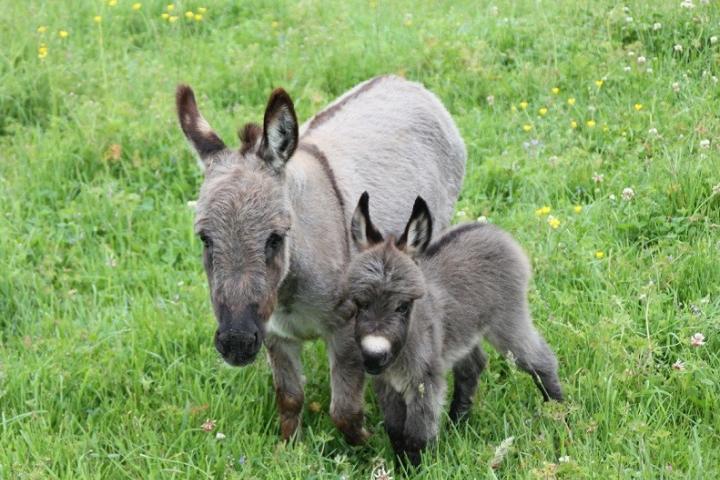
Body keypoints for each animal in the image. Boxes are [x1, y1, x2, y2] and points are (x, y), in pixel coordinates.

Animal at [340, 192, 564, 464]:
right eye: (359, 303)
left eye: (403, 307)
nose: (373, 357)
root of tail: (491, 230)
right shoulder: (386, 383)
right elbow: (395, 431)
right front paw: (401, 465)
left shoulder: (425, 381)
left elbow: (416, 435)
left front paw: (416, 468)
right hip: (465, 334)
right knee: (473, 367)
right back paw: (458, 424)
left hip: (508, 322)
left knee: (540, 360)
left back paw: (559, 414)